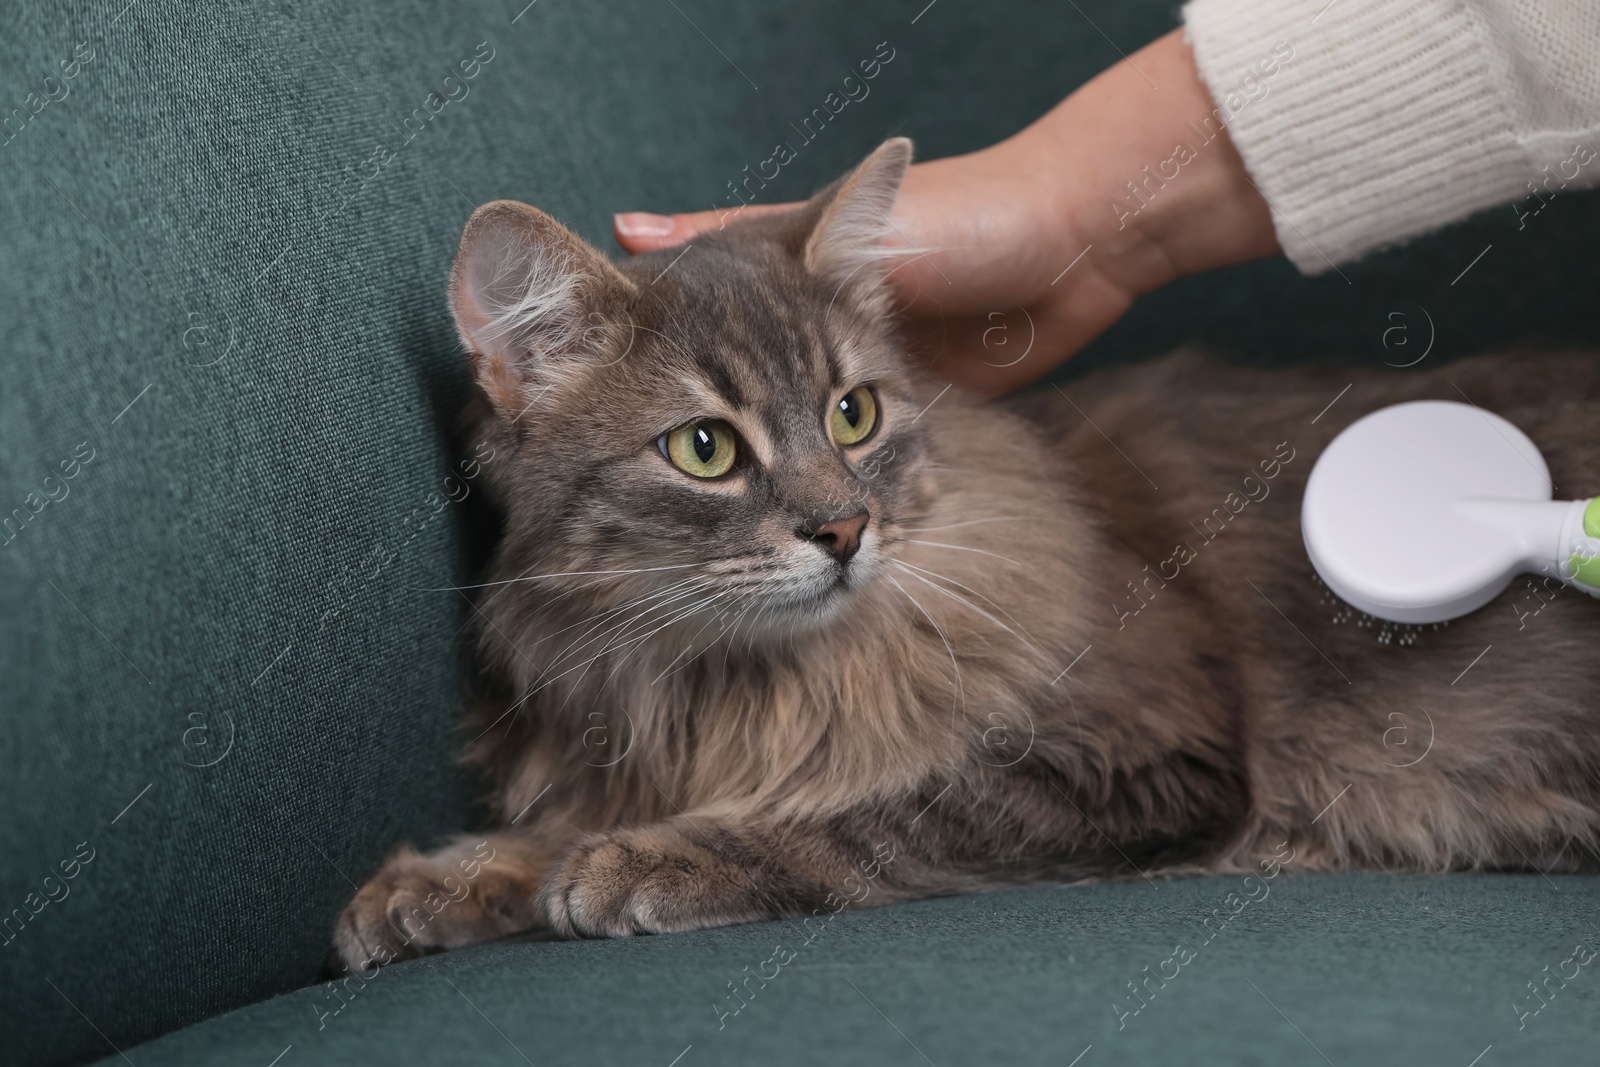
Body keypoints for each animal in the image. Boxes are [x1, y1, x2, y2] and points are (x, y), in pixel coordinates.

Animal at [331, 137, 1600, 972]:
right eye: (705, 449)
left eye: (852, 415)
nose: (844, 528)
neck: (734, 680)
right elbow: (550, 828)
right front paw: (450, 878)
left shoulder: (1134, 753)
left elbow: (862, 805)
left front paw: (647, 858)